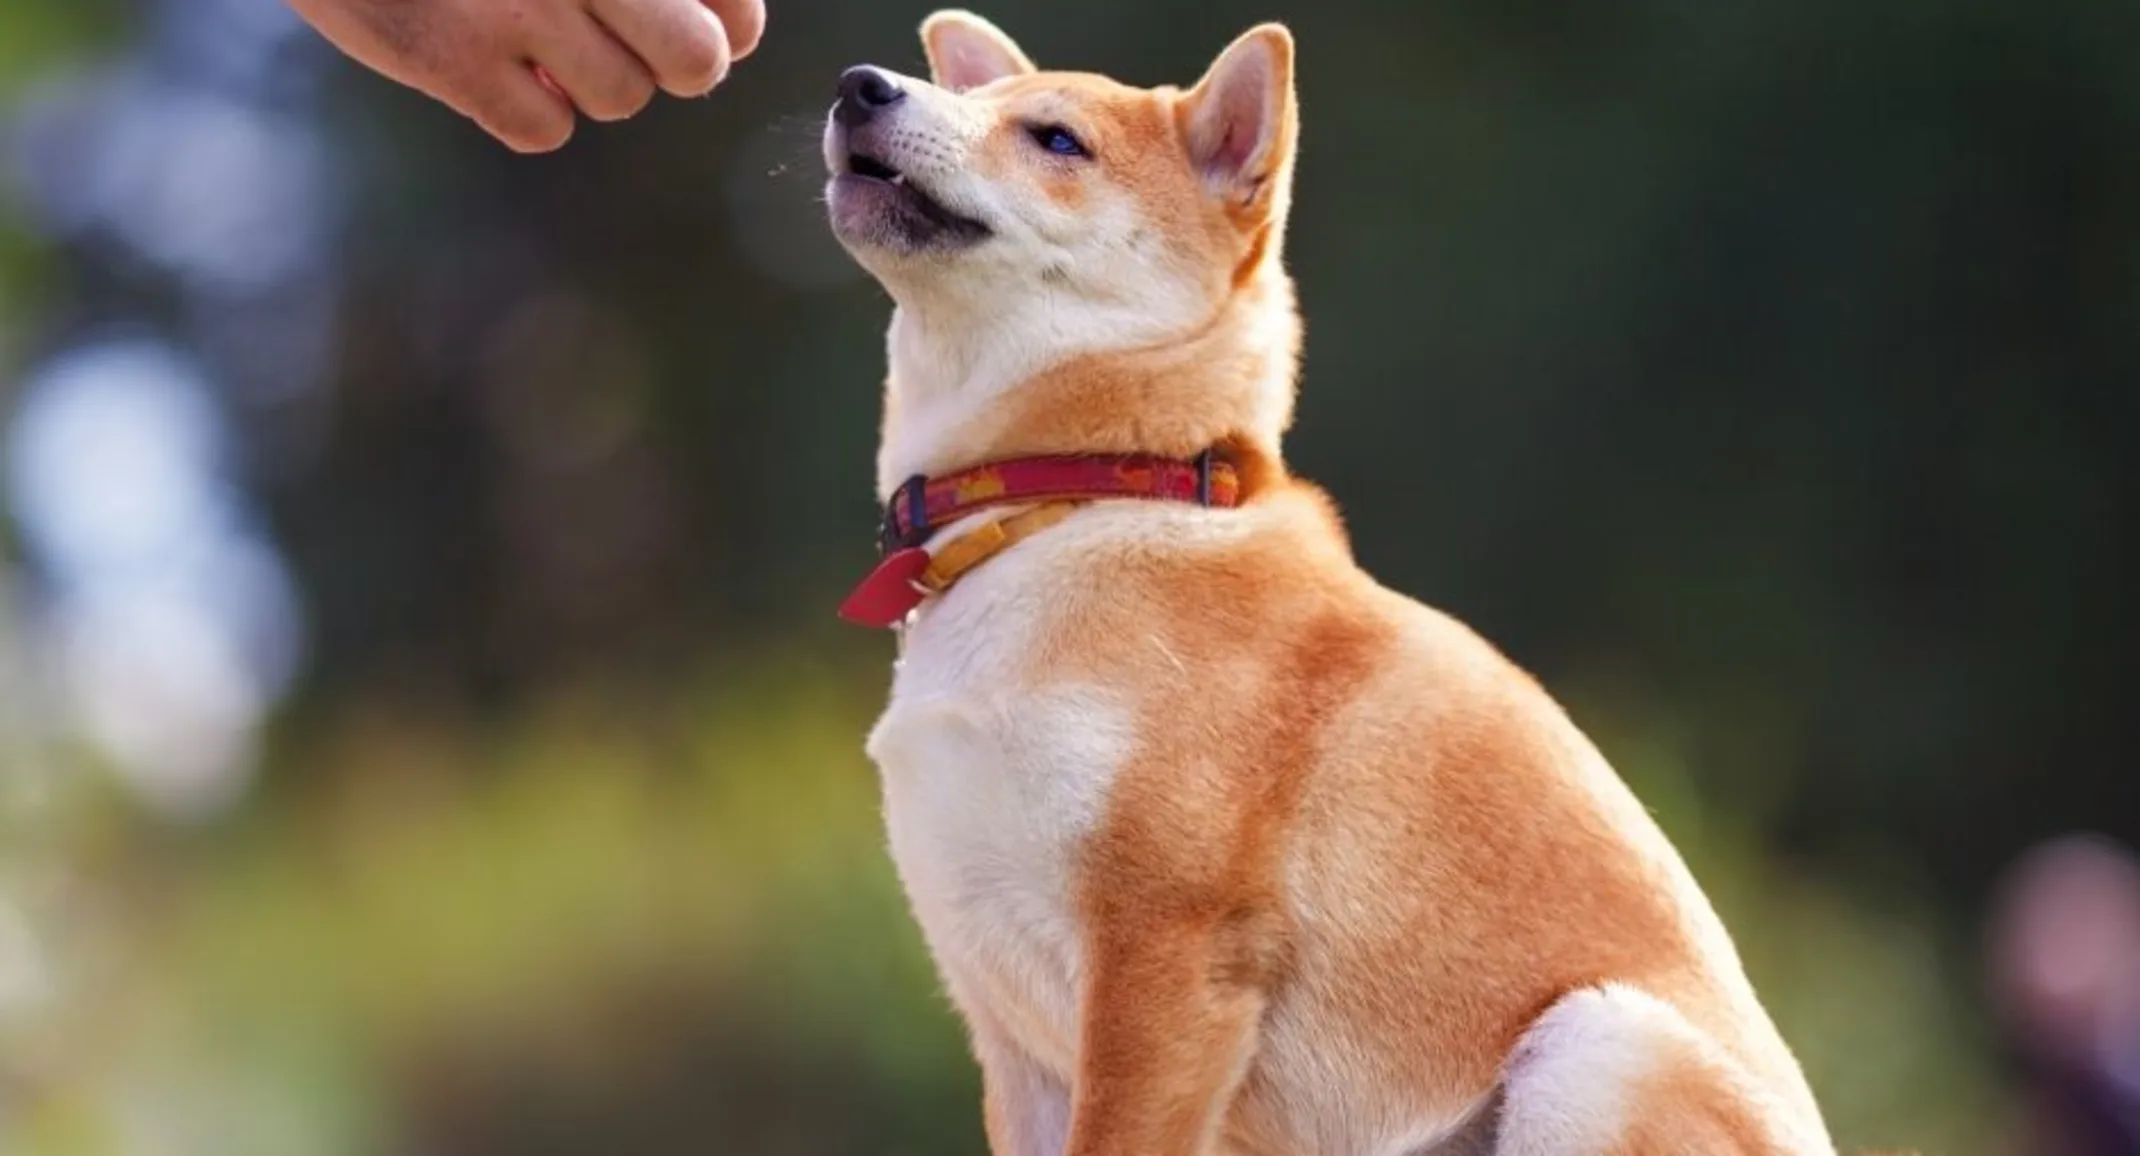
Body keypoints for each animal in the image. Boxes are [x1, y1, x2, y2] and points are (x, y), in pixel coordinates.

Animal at [817, 11, 1840, 1156]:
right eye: (975, 104)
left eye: (1056, 140)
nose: (862, 86)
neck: (1074, 497)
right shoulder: (1009, 1027)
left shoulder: (1163, 958)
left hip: (1595, 1043)